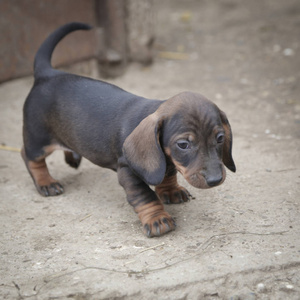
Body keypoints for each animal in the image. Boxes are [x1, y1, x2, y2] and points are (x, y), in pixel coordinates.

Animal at [22, 22, 236, 237]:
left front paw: (169, 190)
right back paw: (46, 182)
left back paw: (72, 156)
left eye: (220, 138)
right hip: (38, 139)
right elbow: (145, 196)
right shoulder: (127, 171)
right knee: (30, 157)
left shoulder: (165, 162)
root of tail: (47, 74)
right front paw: (158, 219)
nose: (215, 179)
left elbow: (166, 175)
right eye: (183, 145)